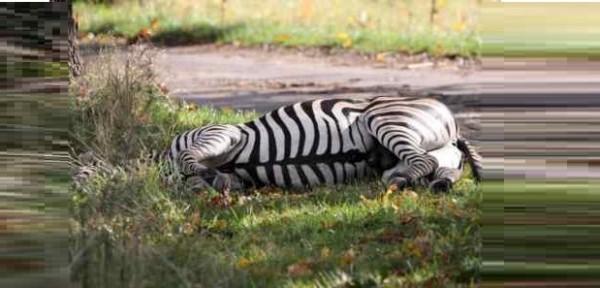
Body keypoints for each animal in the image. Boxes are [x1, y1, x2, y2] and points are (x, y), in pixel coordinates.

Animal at [152, 96, 480, 194]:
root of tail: (453, 121)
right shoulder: (233, 175)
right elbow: (214, 178)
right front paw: (210, 181)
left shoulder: (224, 133)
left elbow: (187, 155)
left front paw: (205, 175)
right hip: (442, 152)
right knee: (439, 168)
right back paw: (431, 182)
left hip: (386, 117)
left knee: (424, 161)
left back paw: (399, 183)